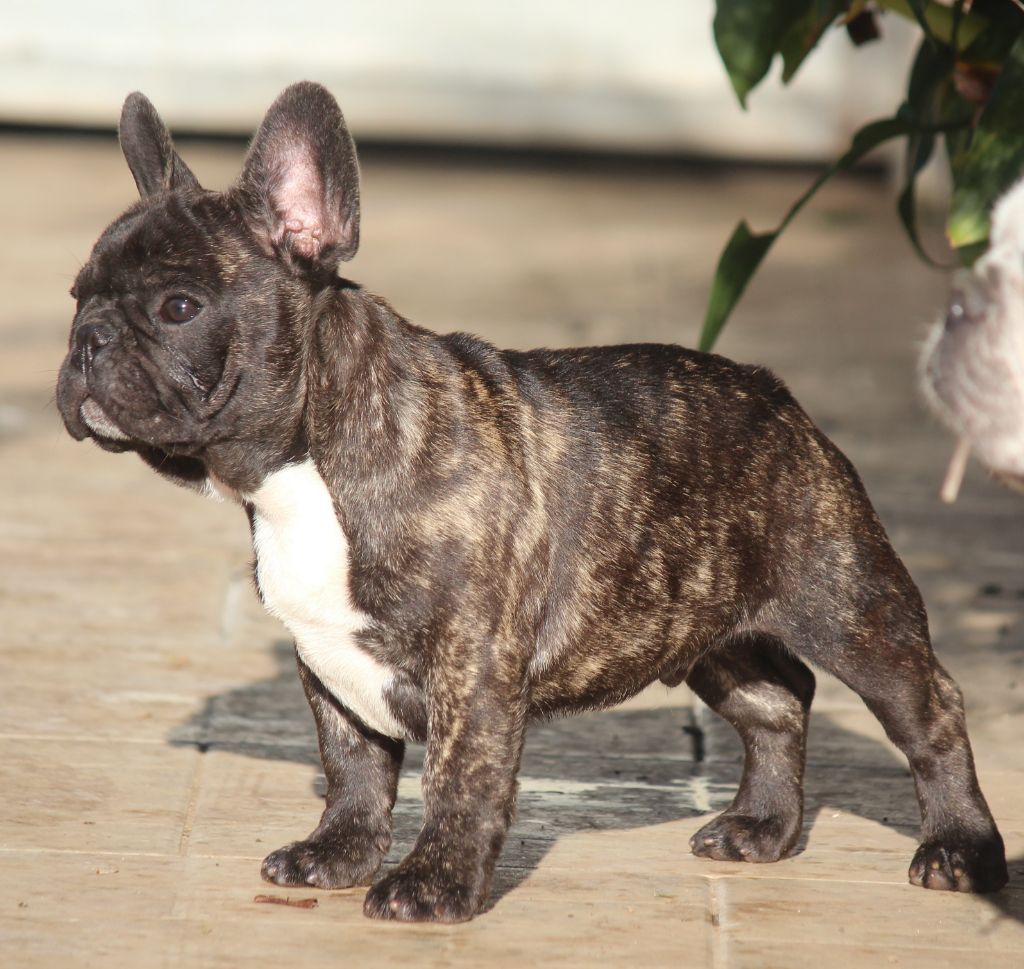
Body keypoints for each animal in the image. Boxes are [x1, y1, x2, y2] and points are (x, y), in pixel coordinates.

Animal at [56, 82, 1008, 921]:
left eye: (179, 306)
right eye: (76, 298)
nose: (86, 341)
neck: (306, 465)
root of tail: (779, 397)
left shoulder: (471, 667)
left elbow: (459, 781)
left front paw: (433, 885)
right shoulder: (325, 657)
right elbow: (354, 766)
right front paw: (339, 851)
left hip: (847, 605)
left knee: (930, 710)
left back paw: (962, 847)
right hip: (703, 628)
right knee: (779, 700)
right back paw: (763, 827)